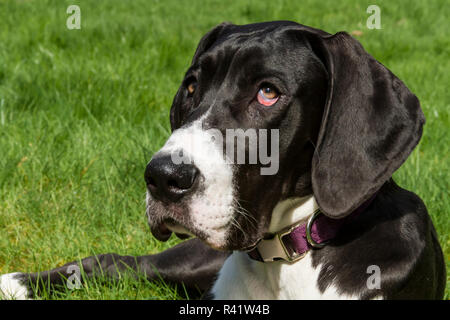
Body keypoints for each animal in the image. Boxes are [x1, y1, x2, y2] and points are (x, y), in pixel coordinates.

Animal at [0, 21, 444, 298]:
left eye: (268, 92)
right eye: (191, 87)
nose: (162, 177)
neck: (288, 258)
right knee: (116, 261)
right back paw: (15, 282)